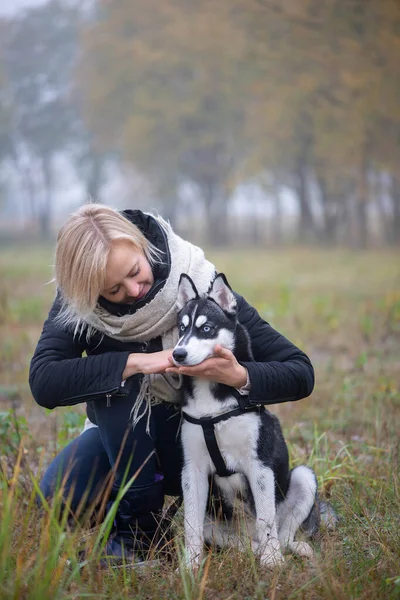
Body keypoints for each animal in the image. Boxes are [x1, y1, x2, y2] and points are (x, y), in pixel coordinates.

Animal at [172, 274, 318, 568]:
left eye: (206, 328)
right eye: (181, 328)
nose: (177, 354)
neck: (212, 403)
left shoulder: (259, 466)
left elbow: (266, 518)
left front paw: (273, 561)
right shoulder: (192, 470)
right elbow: (191, 525)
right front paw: (190, 565)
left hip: (303, 478)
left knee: (280, 532)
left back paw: (285, 549)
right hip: (216, 525)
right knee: (240, 543)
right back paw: (252, 550)